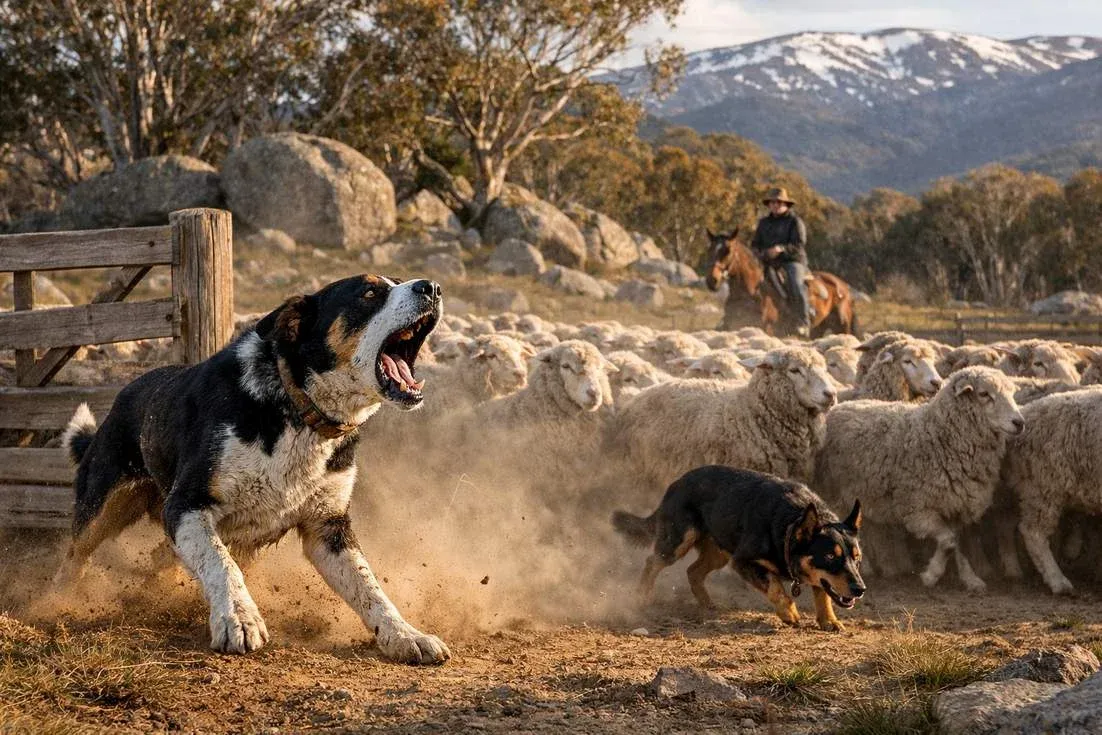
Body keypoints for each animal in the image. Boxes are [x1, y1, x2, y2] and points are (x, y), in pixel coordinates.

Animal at [814, 367, 1024, 592]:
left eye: (1012, 393)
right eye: (984, 394)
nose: (1019, 423)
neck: (940, 435)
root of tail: (838, 407)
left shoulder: (955, 507)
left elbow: (957, 545)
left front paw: (970, 578)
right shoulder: (918, 510)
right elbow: (948, 542)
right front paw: (931, 575)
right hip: (836, 492)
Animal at [999, 387, 1102, 594]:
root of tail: (1026, 411)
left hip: (1021, 488)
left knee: (1006, 523)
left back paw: (1013, 570)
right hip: (1044, 486)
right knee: (1033, 531)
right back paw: (1058, 581)